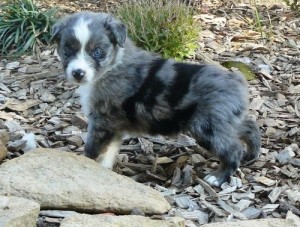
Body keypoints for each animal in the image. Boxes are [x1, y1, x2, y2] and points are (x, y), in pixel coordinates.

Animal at [51, 11, 260, 186]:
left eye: (97, 52)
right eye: (67, 50)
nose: (78, 73)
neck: (112, 66)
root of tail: (238, 82)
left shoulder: (101, 121)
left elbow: (92, 149)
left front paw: (85, 166)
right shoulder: (113, 126)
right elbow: (107, 152)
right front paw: (102, 172)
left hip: (207, 127)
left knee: (232, 149)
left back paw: (218, 177)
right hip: (225, 121)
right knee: (249, 126)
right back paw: (252, 153)